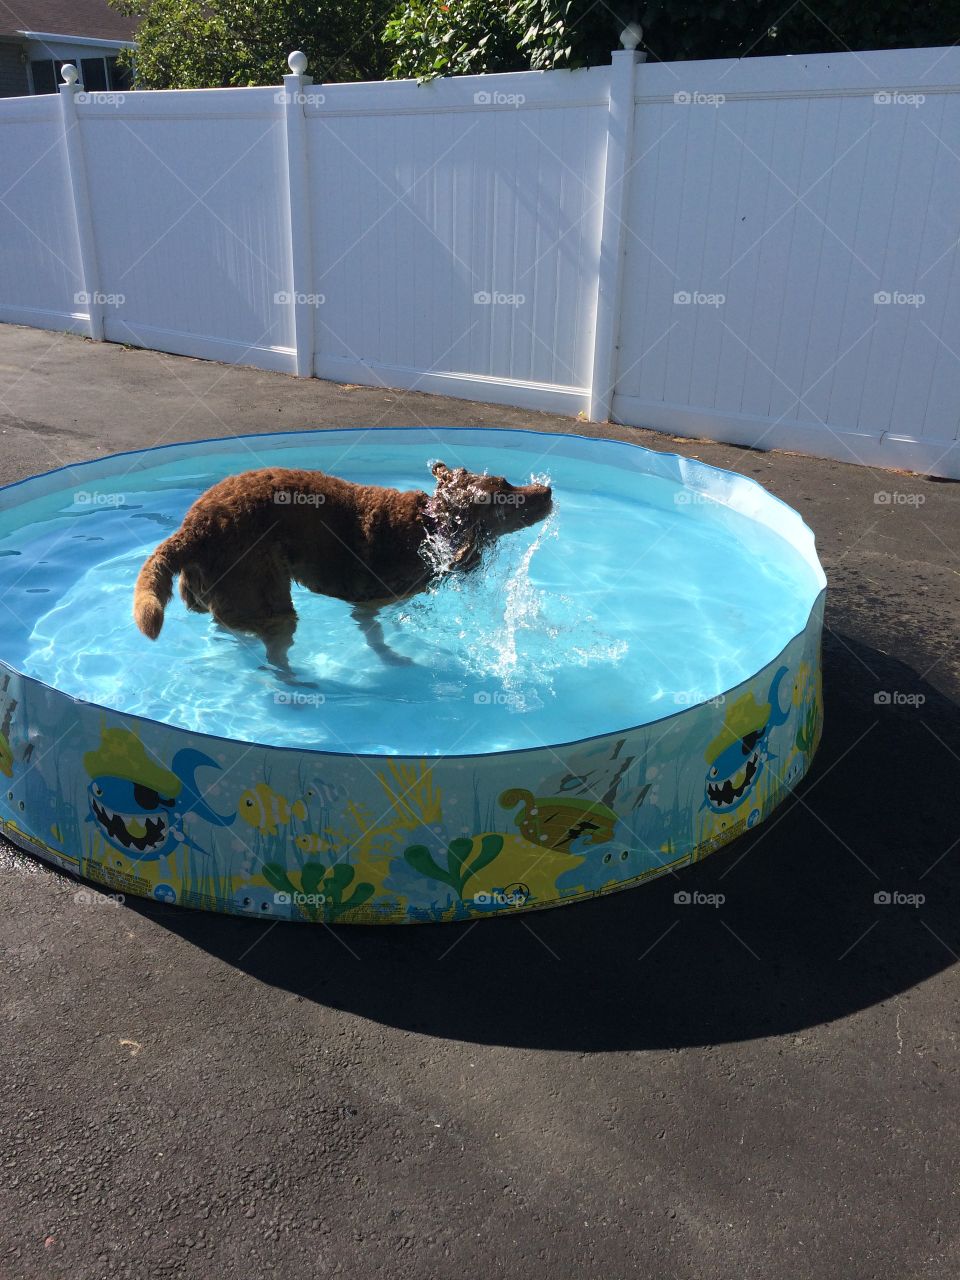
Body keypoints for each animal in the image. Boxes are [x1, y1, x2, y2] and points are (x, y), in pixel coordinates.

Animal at [135, 458, 555, 665]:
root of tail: (193, 527)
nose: (548, 490)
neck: (430, 527)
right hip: (269, 598)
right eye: (506, 490)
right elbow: (378, 640)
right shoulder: (368, 605)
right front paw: (397, 660)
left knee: (227, 624)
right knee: (274, 651)